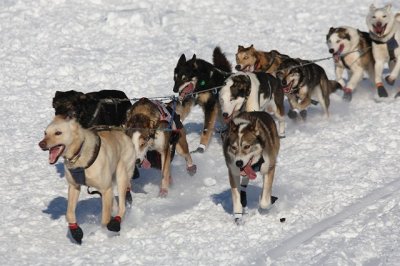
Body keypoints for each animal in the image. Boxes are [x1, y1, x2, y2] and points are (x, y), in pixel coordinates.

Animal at [39, 115, 136, 244]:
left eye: (58, 133)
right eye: (45, 133)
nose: (41, 144)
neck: (79, 154)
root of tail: (124, 135)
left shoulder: (106, 189)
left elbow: (105, 218)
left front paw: (103, 233)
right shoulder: (74, 187)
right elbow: (69, 213)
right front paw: (75, 232)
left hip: (122, 175)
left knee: (122, 206)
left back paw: (115, 222)